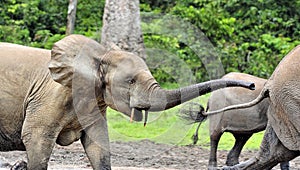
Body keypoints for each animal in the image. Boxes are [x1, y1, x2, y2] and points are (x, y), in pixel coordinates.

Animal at [0, 33, 255, 169]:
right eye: (131, 81)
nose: (252, 85)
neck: (100, 56)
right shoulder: (50, 98)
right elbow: (36, 139)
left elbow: (98, 144)